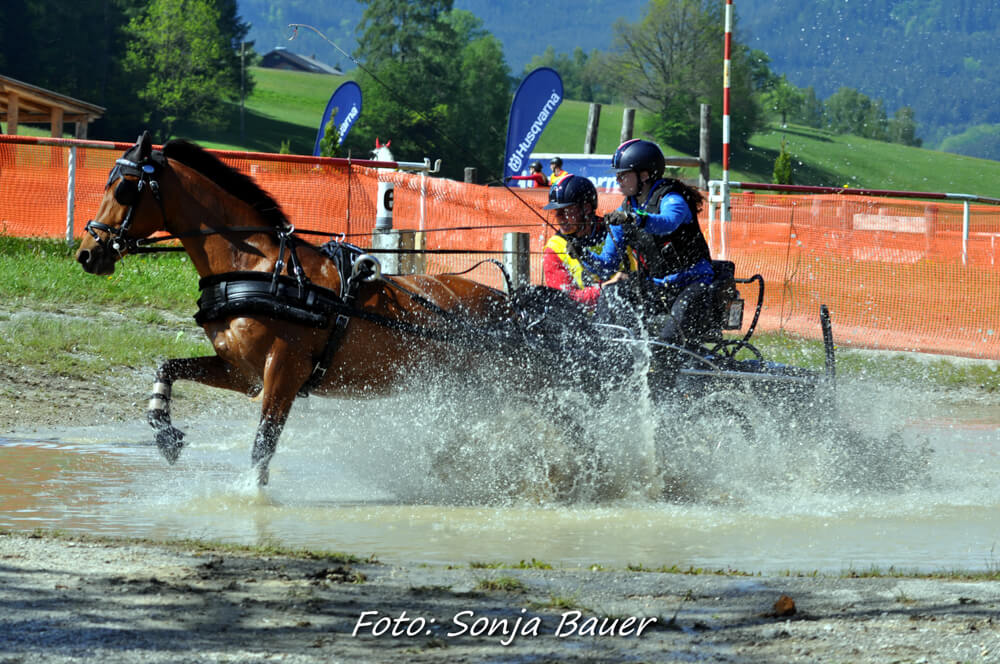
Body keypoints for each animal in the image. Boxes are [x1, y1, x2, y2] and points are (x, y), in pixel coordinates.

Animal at [75, 132, 543, 486]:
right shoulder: (241, 371)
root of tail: (509, 303)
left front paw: (252, 499)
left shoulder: (283, 369)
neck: (260, 268)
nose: (86, 253)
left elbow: (263, 445)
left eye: (122, 187)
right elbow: (167, 367)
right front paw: (165, 434)